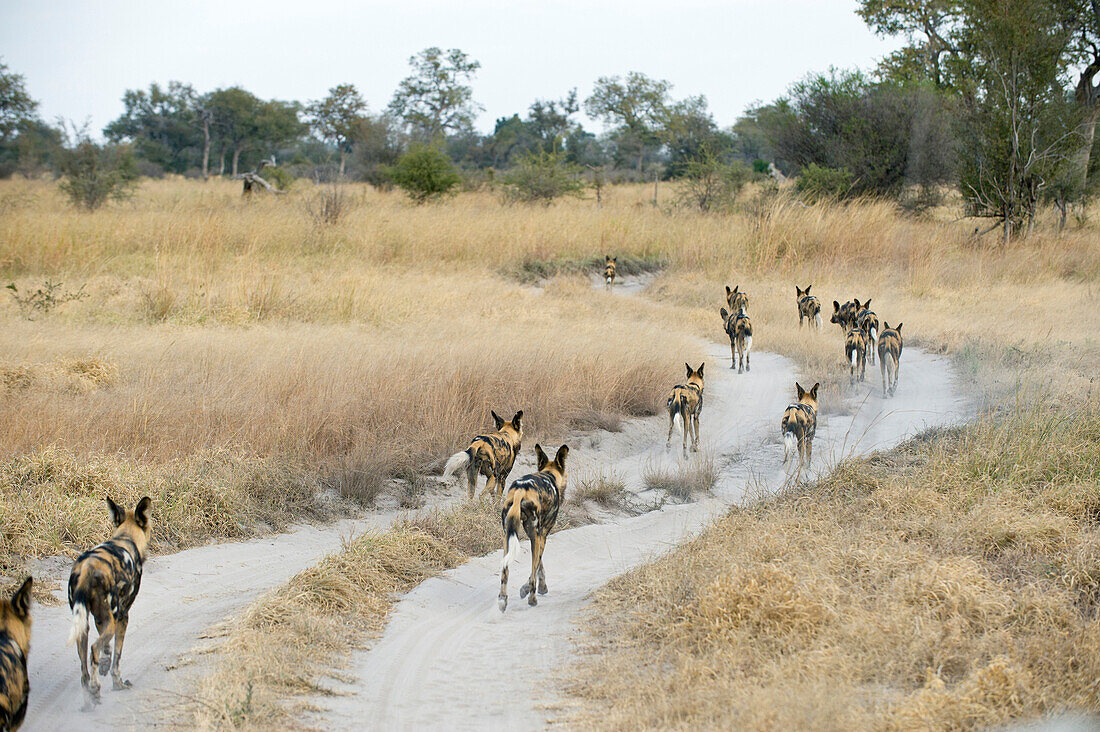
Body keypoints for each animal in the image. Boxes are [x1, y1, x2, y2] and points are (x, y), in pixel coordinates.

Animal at [67, 493, 151, 704]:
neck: (125, 537)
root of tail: (87, 568)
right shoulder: (122, 616)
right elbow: (117, 657)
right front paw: (118, 683)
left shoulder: (100, 618)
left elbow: (108, 650)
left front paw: (104, 666)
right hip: (112, 620)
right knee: (94, 648)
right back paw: (96, 690)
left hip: (83, 625)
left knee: (84, 668)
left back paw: (88, 697)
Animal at [499, 444, 567, 612]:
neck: (549, 474)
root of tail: (521, 489)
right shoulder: (541, 535)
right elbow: (535, 567)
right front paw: (532, 589)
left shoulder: (536, 536)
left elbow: (538, 565)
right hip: (534, 534)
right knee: (530, 571)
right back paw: (532, 599)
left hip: (508, 535)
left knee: (504, 571)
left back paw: (502, 600)